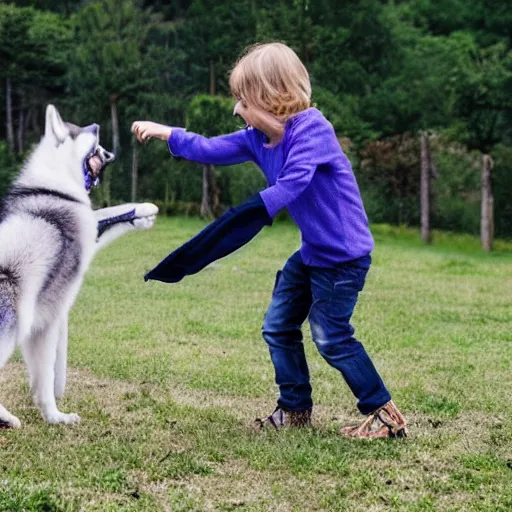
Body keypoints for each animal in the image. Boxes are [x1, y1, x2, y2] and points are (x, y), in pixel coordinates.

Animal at [0, 104, 158, 428]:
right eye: (78, 131)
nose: (97, 125)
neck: (54, 186)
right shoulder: (47, 321)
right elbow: (47, 377)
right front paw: (54, 417)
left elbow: (108, 214)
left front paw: (143, 212)